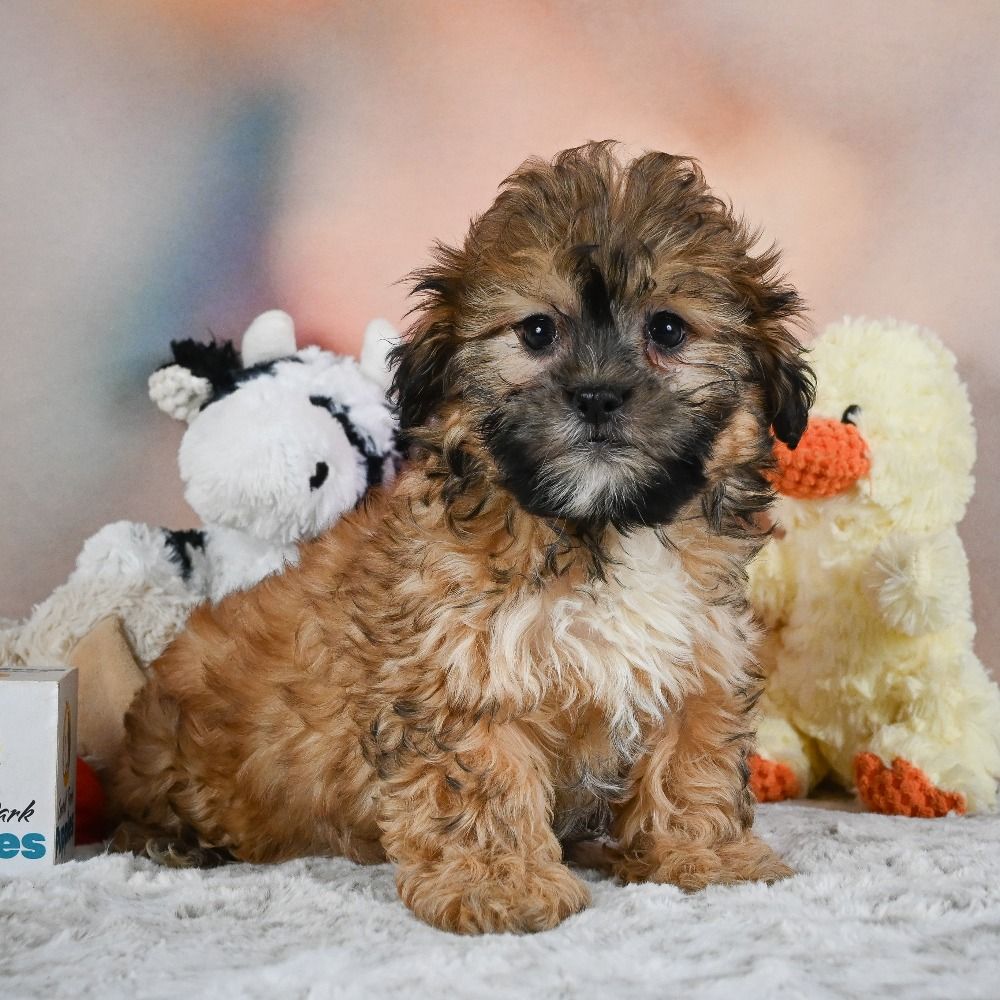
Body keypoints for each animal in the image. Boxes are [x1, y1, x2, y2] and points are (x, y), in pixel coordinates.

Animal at [111, 143, 812, 936]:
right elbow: (481, 782)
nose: (597, 396)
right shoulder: (465, 674)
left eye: (667, 329)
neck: (597, 528)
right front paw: (499, 884)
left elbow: (692, 761)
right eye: (536, 332)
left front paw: (704, 856)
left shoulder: (700, 657)